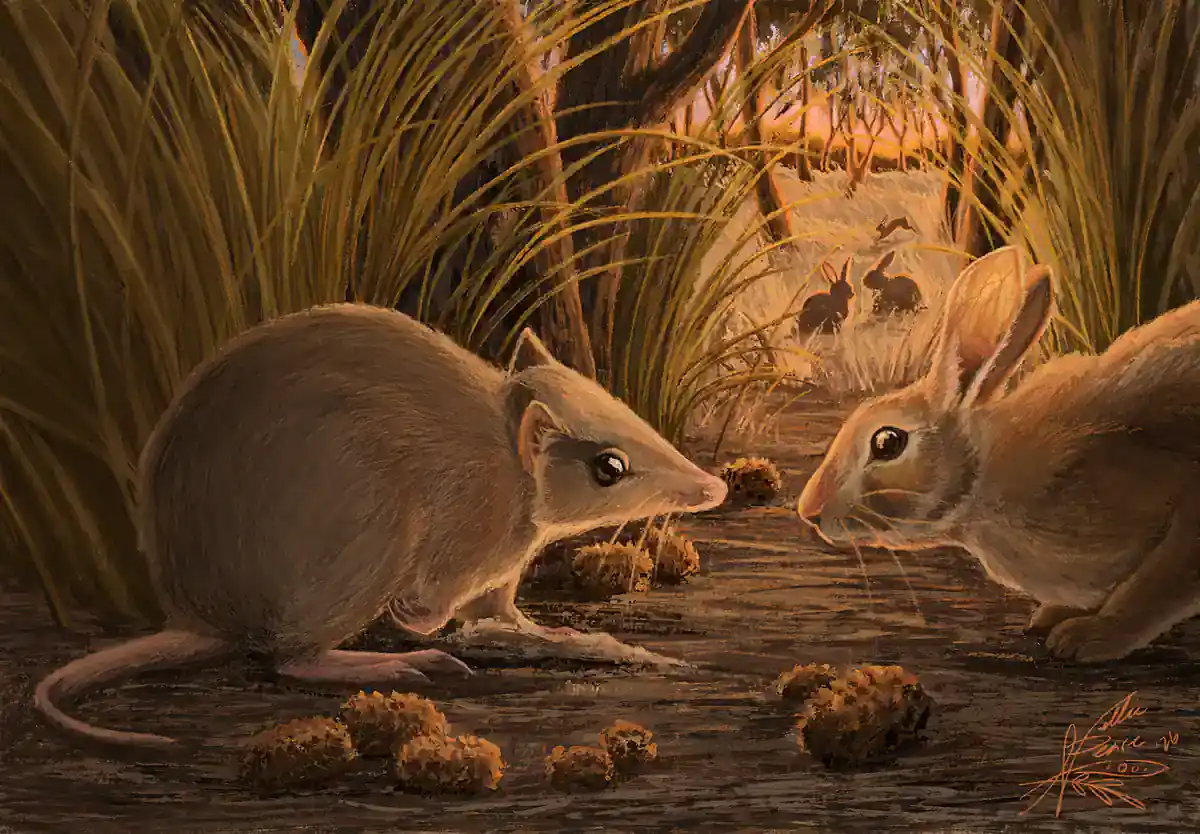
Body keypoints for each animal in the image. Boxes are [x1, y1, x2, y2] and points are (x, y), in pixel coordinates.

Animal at [797, 244, 1200, 663]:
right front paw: (1051, 616)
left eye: (887, 442)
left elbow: (1155, 585)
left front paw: (1090, 637)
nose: (808, 510)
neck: (984, 475)